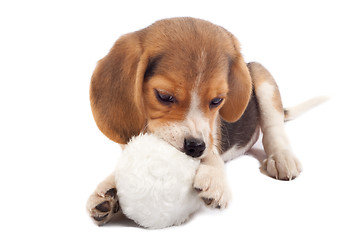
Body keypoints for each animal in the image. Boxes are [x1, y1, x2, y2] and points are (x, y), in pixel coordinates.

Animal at [88, 16, 302, 225]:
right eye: (164, 96)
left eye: (217, 101)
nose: (195, 147)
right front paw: (109, 190)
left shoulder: (211, 136)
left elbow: (212, 154)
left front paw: (214, 177)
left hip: (261, 76)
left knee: (273, 129)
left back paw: (281, 157)